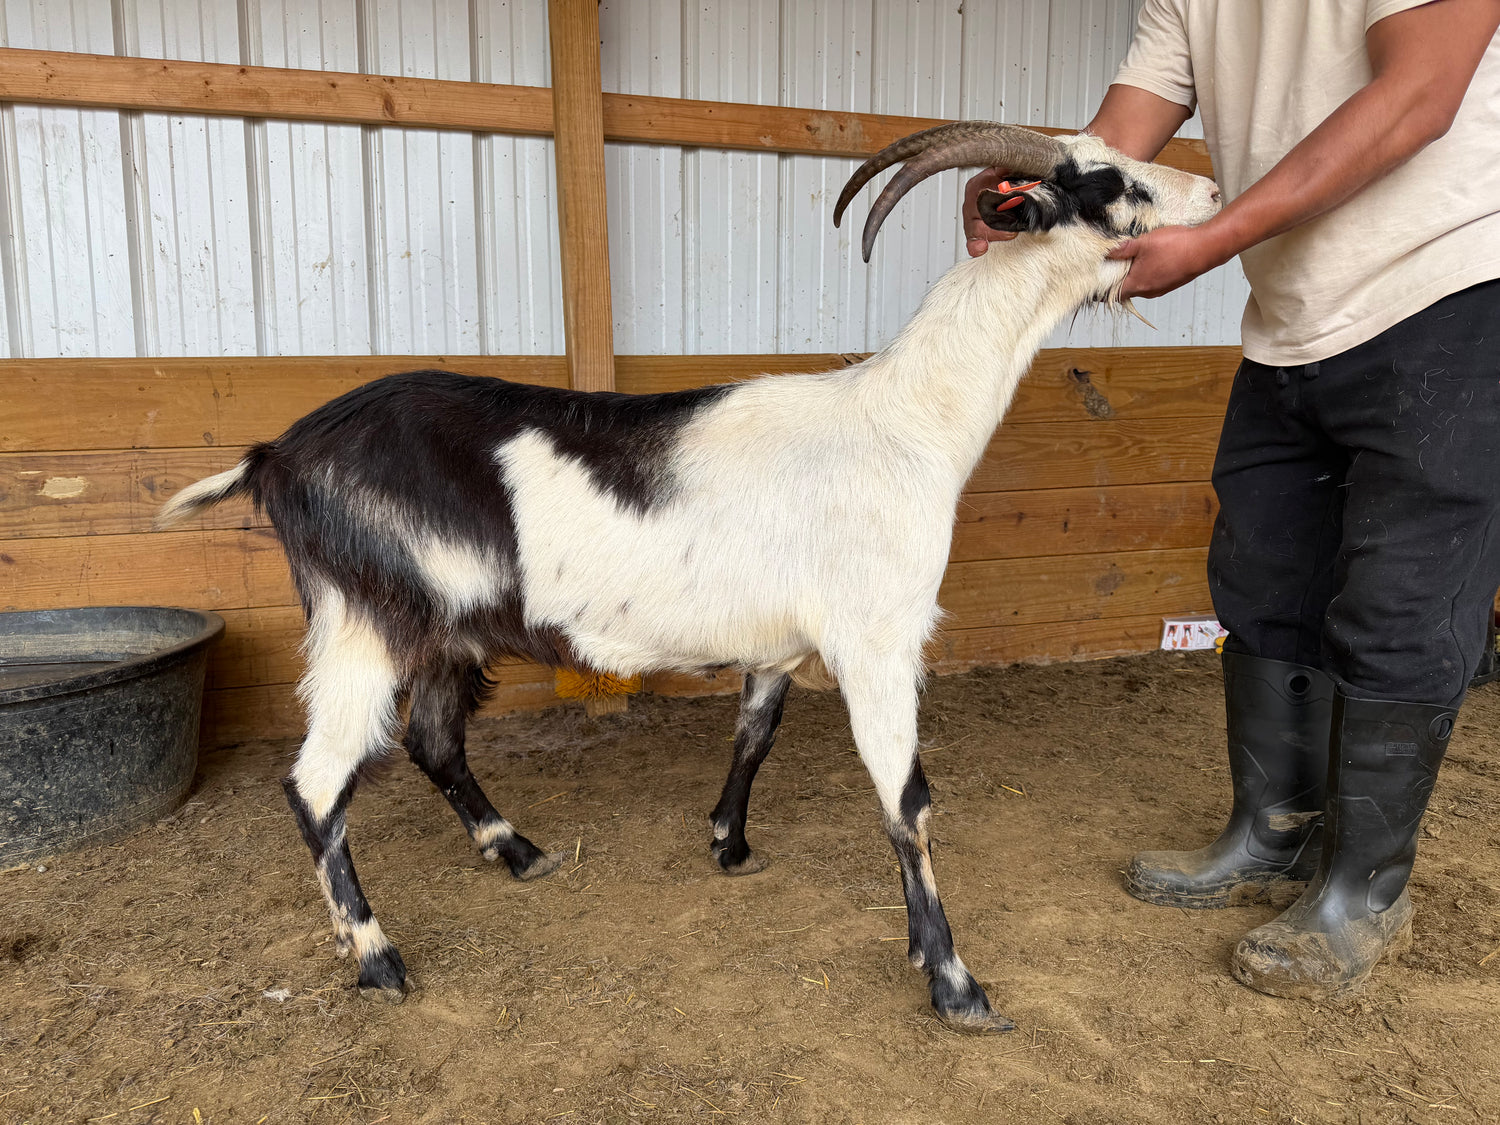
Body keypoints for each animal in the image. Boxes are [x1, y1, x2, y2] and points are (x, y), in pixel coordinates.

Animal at [157, 123, 1221, 1031]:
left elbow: (755, 736)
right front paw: (955, 981)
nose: (1212, 189)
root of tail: (277, 456)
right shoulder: (878, 636)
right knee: (317, 782)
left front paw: (729, 844)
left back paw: (518, 852)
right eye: (1109, 181)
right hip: (366, 618)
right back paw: (378, 955)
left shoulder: (779, 647)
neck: (906, 420)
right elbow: (906, 799)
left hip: (445, 631)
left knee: (431, 739)